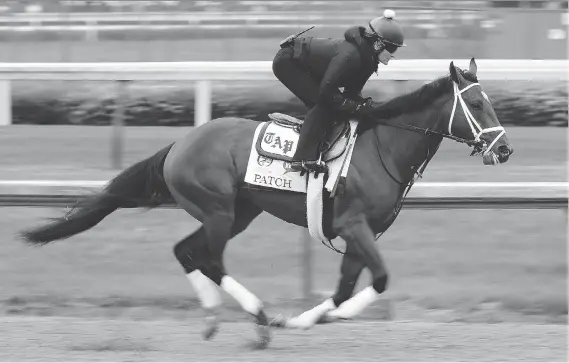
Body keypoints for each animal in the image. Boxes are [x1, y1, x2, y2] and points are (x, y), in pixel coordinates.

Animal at [20, 59, 512, 350]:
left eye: (490, 101)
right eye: (474, 103)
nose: (505, 150)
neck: (384, 149)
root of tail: (181, 142)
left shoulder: (361, 233)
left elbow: (343, 289)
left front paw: (312, 319)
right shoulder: (354, 226)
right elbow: (381, 279)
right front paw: (309, 320)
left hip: (237, 212)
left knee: (185, 251)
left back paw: (215, 319)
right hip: (219, 210)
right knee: (208, 258)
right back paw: (258, 318)